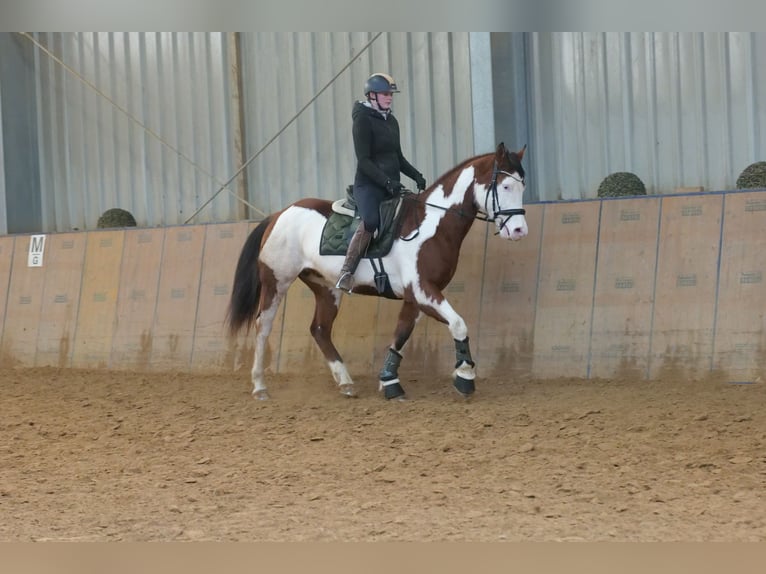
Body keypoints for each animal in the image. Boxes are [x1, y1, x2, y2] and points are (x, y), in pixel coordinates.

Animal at [226, 142, 528, 400]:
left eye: (522, 186)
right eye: (505, 185)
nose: (519, 230)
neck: (432, 225)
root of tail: (280, 214)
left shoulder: (414, 297)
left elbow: (401, 335)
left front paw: (389, 381)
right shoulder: (423, 291)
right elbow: (458, 324)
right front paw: (465, 376)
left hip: (326, 288)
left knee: (320, 329)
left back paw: (346, 382)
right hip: (276, 282)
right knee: (263, 326)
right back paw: (260, 386)